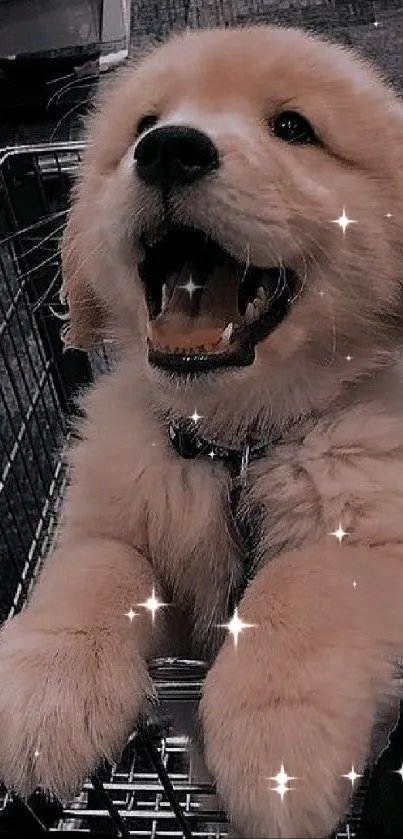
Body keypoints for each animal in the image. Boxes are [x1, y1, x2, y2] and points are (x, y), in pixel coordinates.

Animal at [0, 23, 403, 836]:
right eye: (144, 124)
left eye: (293, 128)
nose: (168, 149)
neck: (233, 443)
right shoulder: (108, 515)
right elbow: (99, 569)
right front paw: (43, 689)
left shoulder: (384, 528)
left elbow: (309, 580)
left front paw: (275, 740)